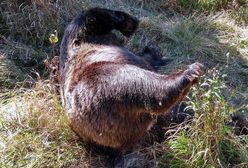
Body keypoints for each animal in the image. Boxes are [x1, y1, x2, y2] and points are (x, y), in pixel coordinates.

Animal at [60, 7, 203, 152]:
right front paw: (128, 24)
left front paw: (152, 52)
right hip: (102, 84)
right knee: (144, 85)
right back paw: (188, 74)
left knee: (173, 114)